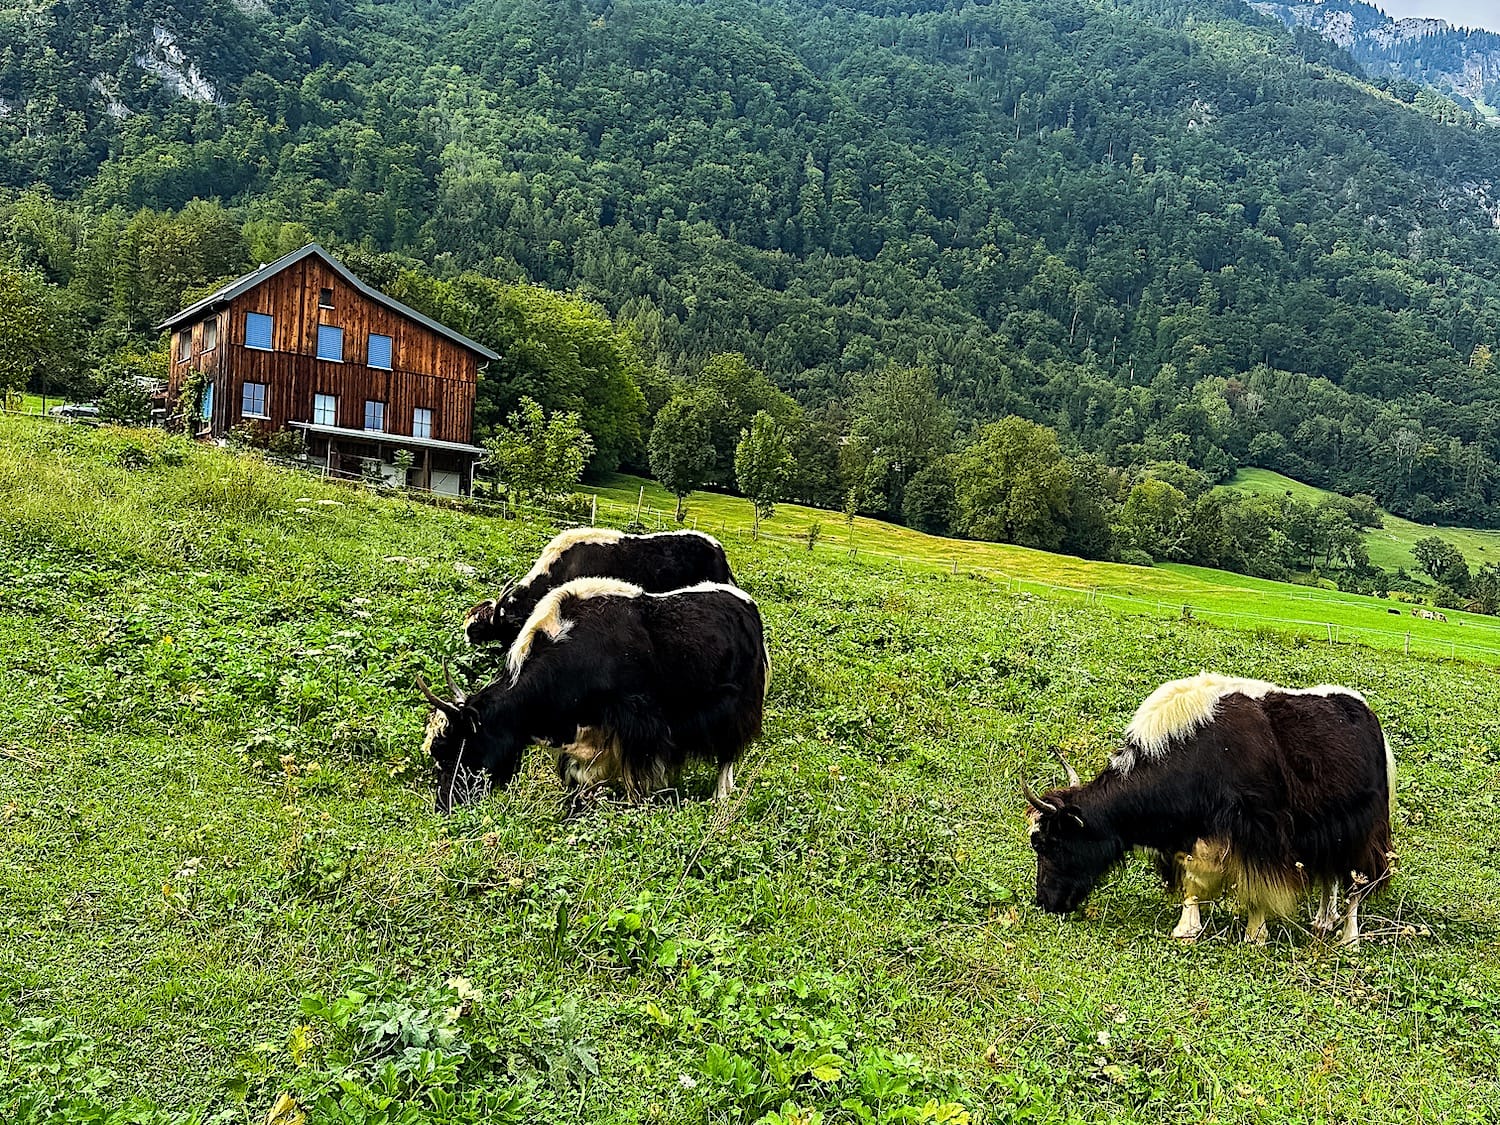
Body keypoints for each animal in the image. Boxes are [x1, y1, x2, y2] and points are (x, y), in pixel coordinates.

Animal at [420, 577, 770, 813]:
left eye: (460, 748)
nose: (445, 805)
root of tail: (746, 604)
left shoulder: (638, 725)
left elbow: (637, 773)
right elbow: (580, 776)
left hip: (738, 707)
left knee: (728, 752)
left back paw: (722, 796)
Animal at [1024, 673, 1394, 945]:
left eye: (1049, 843)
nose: (1045, 901)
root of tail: (1368, 716)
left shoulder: (1257, 835)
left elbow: (1254, 885)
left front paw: (1254, 935)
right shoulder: (1188, 833)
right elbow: (1192, 877)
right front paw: (1186, 929)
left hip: (1367, 830)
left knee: (1358, 881)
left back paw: (1348, 938)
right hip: (1329, 832)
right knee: (1331, 876)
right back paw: (1323, 921)